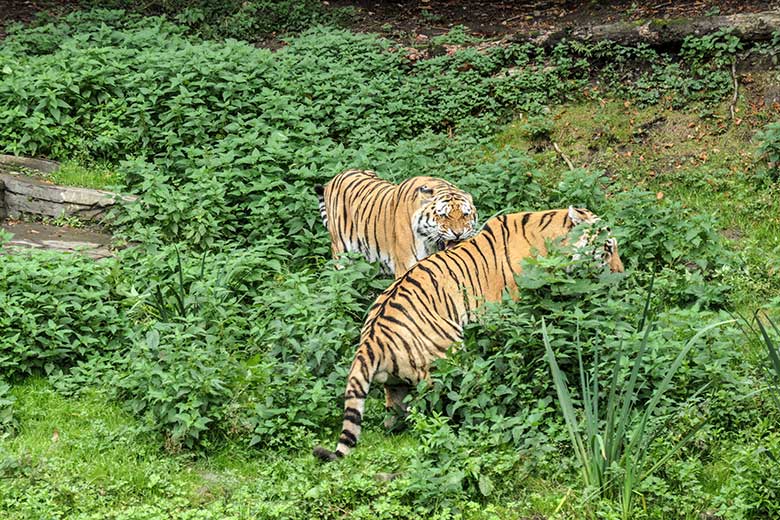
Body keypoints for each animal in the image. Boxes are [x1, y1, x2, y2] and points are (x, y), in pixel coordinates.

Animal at [314, 205, 624, 462]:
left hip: (395, 383)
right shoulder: (510, 310)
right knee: (445, 406)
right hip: (448, 360)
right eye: (607, 248)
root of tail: (370, 341)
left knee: (397, 415)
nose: (622, 274)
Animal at [316, 169, 476, 278]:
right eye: (443, 215)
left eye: (465, 214)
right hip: (340, 253)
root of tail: (337, 176)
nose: (458, 234)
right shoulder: (406, 267)